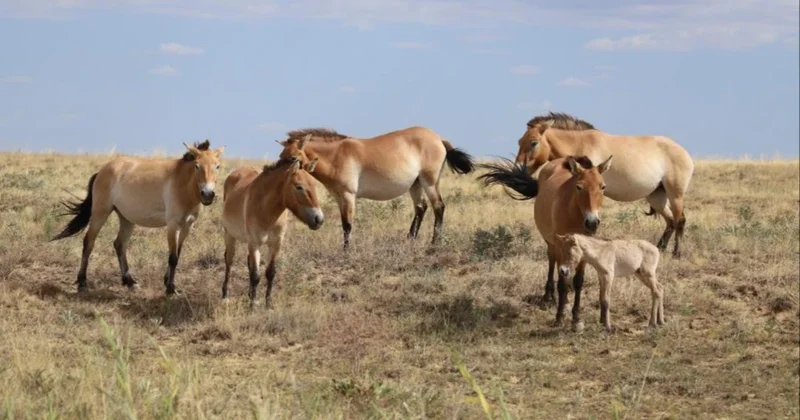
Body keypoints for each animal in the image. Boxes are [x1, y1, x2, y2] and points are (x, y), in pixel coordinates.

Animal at [50, 140, 225, 295]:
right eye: (197, 166)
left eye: (217, 166)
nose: (208, 194)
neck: (182, 184)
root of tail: (101, 171)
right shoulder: (173, 225)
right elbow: (173, 257)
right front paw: (170, 289)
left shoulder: (187, 226)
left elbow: (177, 254)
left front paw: (167, 282)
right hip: (101, 212)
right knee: (89, 243)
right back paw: (82, 284)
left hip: (126, 218)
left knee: (119, 244)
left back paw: (130, 282)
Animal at [220, 153, 324, 307]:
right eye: (299, 187)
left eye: (315, 185)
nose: (319, 219)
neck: (267, 210)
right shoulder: (255, 243)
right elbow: (255, 275)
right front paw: (253, 306)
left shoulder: (275, 244)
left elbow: (270, 273)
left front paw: (267, 304)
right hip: (230, 235)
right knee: (229, 260)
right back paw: (225, 295)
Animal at [275, 127, 475, 248]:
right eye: (281, 156)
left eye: (293, 158)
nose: (280, 178)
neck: (336, 156)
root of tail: (439, 139)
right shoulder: (339, 197)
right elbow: (344, 224)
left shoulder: (348, 195)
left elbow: (347, 224)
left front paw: (346, 251)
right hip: (416, 184)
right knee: (421, 208)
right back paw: (410, 239)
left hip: (430, 182)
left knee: (438, 207)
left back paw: (435, 242)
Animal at [478, 155, 612, 332]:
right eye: (579, 187)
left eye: (603, 187)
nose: (592, 223)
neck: (575, 214)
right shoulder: (560, 246)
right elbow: (562, 282)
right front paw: (559, 318)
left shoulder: (584, 249)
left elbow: (578, 282)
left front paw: (576, 319)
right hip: (551, 243)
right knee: (552, 262)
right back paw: (549, 296)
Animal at [514, 112, 694, 258]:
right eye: (519, 141)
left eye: (533, 143)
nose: (518, 168)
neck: (580, 143)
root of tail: (684, 152)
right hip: (657, 196)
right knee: (670, 221)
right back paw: (659, 249)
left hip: (675, 195)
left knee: (679, 220)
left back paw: (676, 253)